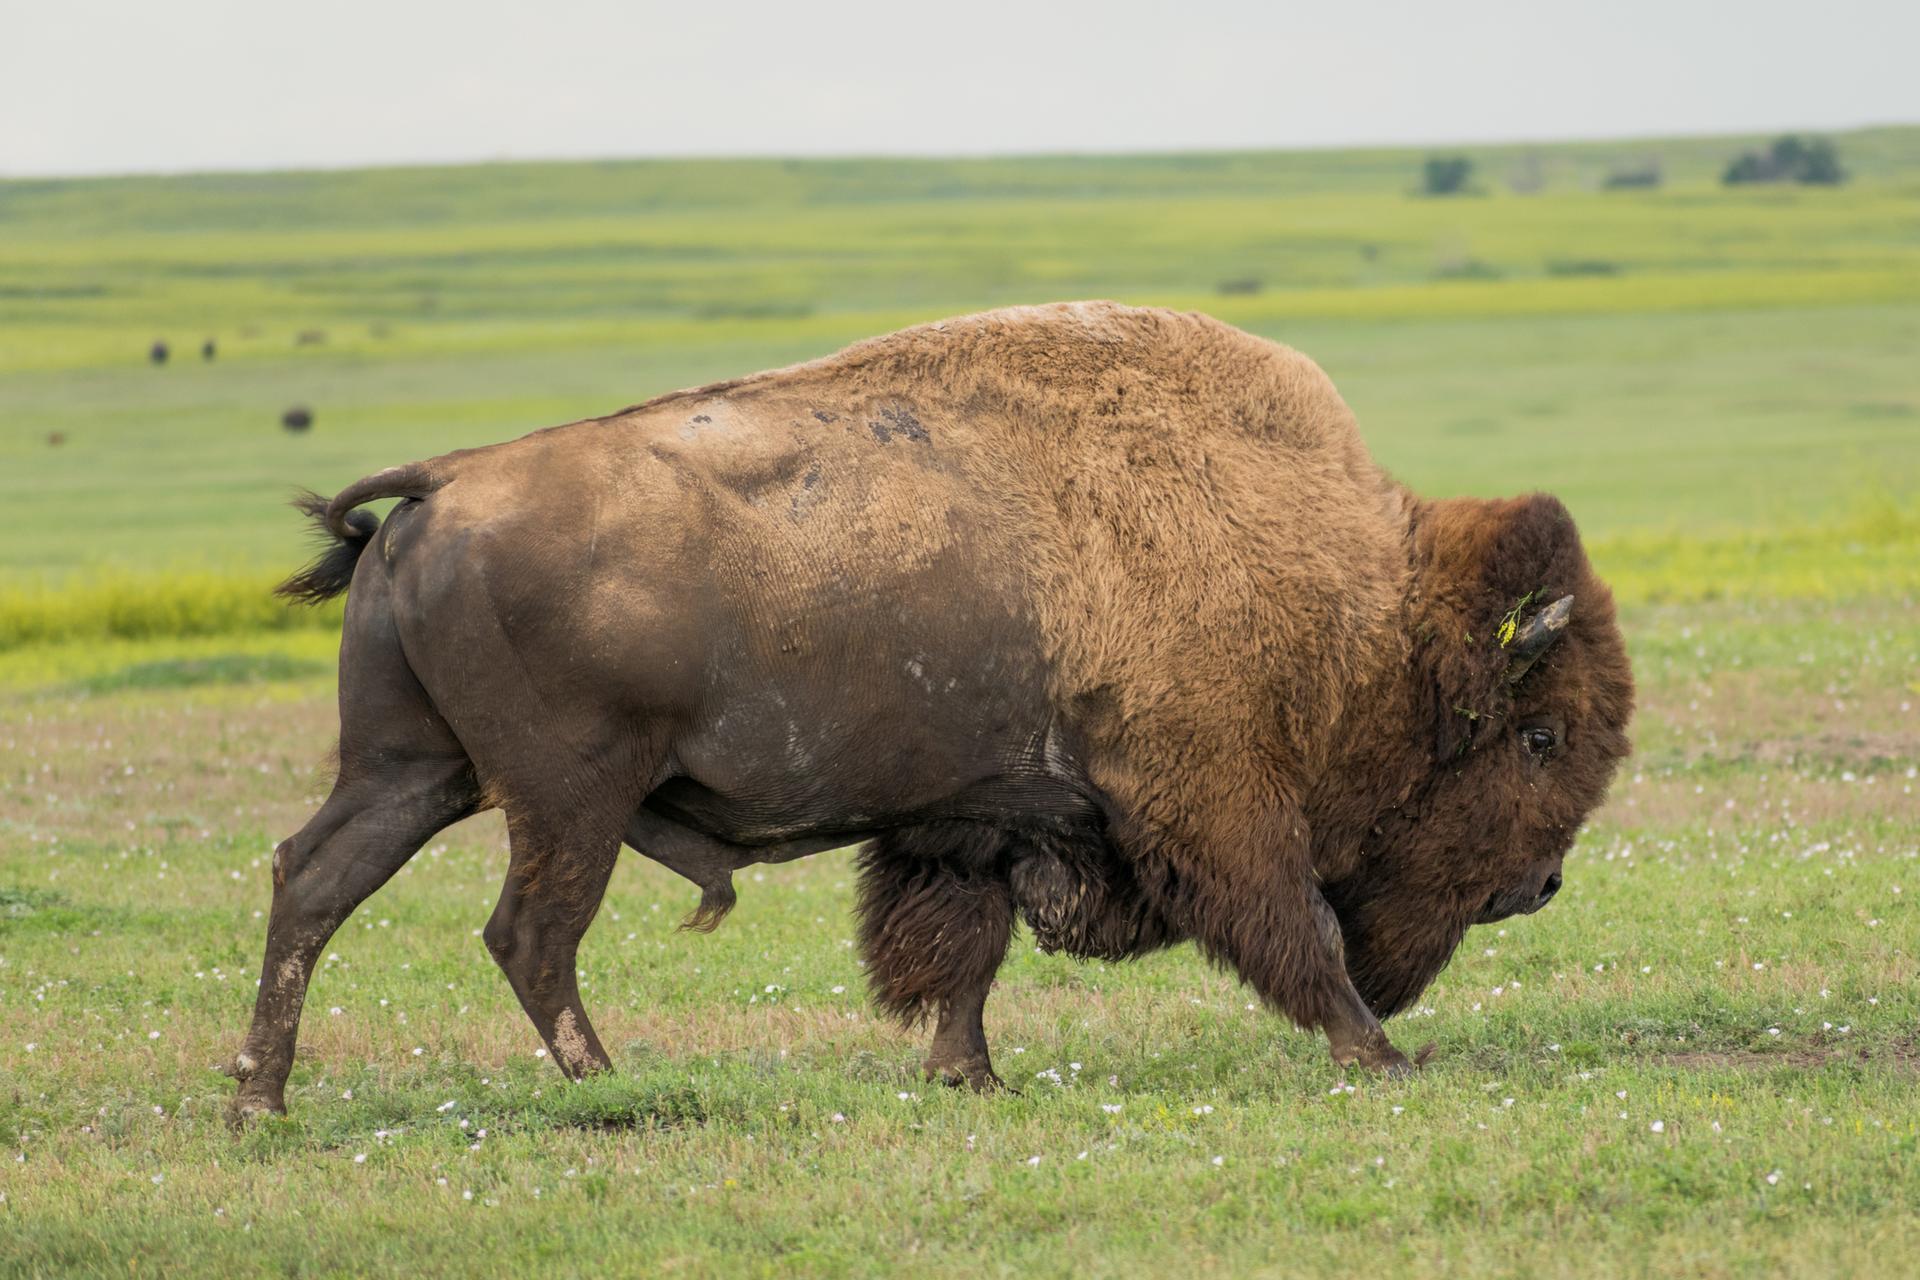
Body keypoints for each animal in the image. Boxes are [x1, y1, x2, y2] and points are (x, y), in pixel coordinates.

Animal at [227, 302, 1632, 1120]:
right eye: (1540, 734)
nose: (1540, 886)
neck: (1350, 591)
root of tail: (443, 485)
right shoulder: (1214, 803)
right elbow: (1304, 936)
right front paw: (1379, 1058)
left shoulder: (973, 817)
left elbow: (961, 948)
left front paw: (967, 1076)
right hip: (565, 793)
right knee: (529, 932)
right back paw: (613, 1088)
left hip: (413, 769)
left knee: (313, 881)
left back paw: (259, 1100)